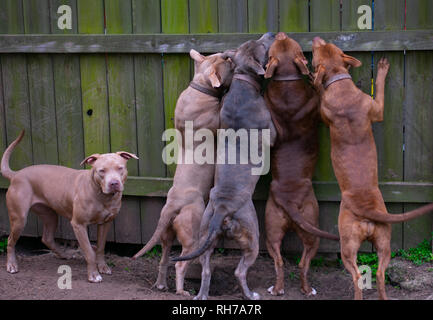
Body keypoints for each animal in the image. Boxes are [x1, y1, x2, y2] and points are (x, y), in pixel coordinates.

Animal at [132, 48, 233, 296]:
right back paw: (181, 291)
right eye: (224, 60)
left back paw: (161, 284)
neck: (199, 86)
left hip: (167, 235)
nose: (230, 55)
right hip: (192, 234)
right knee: (180, 263)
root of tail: (173, 206)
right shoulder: (217, 121)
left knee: (164, 259)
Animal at [310, 37, 432, 300]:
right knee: (373, 274)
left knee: (364, 275)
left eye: (320, 49)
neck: (339, 80)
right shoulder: (376, 109)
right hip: (374, 243)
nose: (316, 39)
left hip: (361, 244)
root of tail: (366, 211)